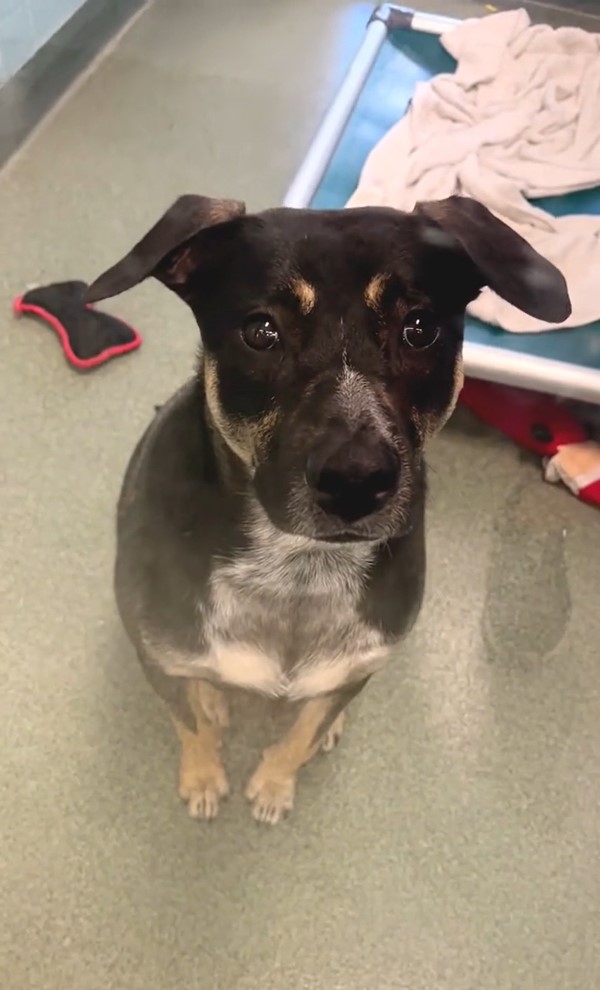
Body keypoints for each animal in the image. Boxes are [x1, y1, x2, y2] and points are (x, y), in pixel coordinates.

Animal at [86, 192, 568, 820]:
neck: (296, 571)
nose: (356, 480)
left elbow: (305, 731)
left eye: (420, 328)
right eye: (261, 331)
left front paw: (274, 784)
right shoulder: (158, 652)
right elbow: (189, 721)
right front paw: (203, 776)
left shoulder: (353, 670)